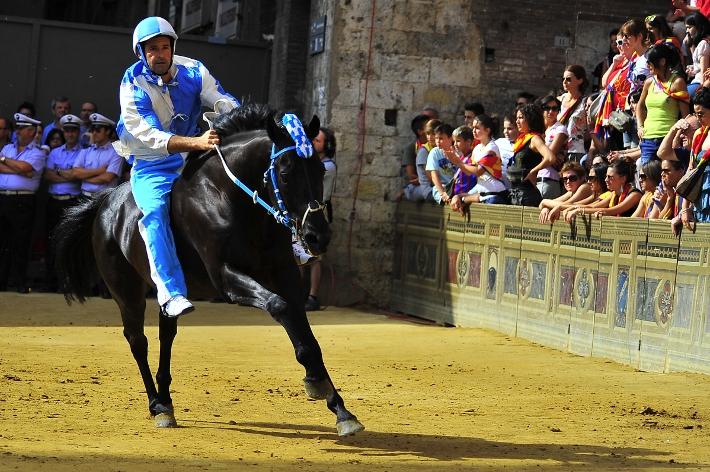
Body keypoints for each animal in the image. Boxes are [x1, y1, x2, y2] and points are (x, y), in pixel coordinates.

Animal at [55, 103, 364, 436]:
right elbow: (280, 307)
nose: (318, 235)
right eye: (285, 172)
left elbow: (307, 336)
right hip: (127, 292)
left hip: (168, 292)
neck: (228, 197)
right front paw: (317, 383)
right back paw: (156, 405)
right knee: (138, 340)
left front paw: (340, 408)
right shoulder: (226, 278)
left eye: (321, 170)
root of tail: (105, 201)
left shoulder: (288, 278)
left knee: (166, 334)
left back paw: (166, 400)